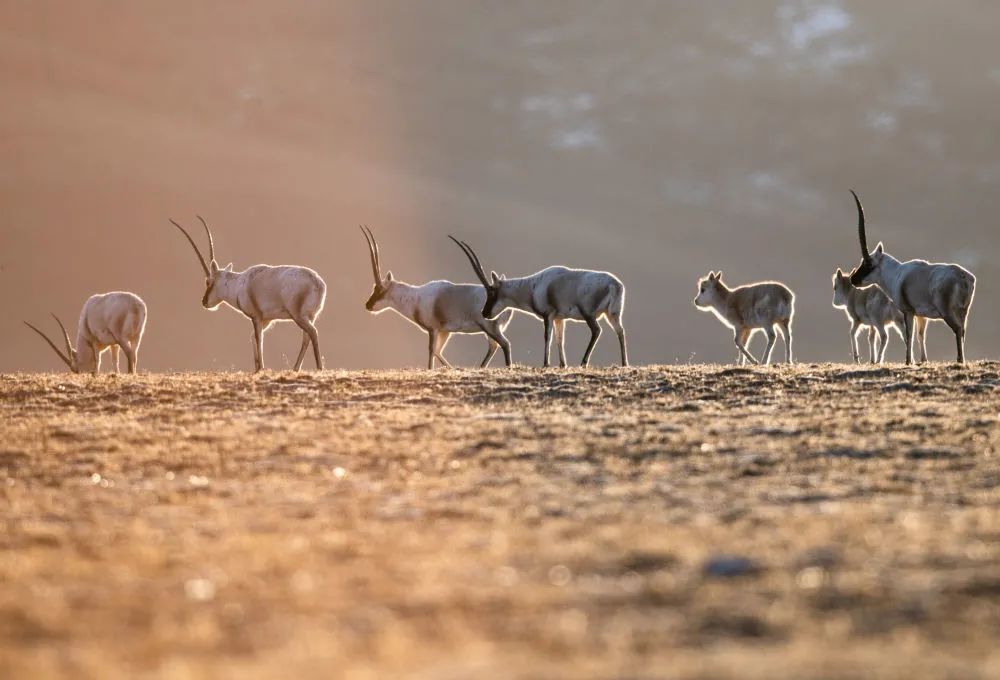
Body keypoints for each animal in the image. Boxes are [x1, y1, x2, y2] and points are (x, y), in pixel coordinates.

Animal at [170, 216, 326, 372]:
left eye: (208, 281)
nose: (204, 302)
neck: (239, 284)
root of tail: (318, 283)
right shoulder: (266, 319)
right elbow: (253, 338)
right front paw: (256, 369)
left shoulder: (256, 317)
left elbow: (258, 338)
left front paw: (261, 368)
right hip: (310, 316)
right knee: (306, 337)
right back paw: (295, 368)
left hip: (298, 316)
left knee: (313, 332)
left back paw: (319, 367)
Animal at [360, 227, 512, 366]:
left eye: (380, 289)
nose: (368, 305)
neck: (415, 298)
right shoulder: (444, 331)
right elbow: (438, 352)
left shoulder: (432, 329)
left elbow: (431, 351)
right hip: (491, 329)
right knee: (493, 346)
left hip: (489, 326)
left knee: (504, 344)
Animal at [452, 238, 628, 370]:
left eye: (492, 292)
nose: (484, 313)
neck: (533, 286)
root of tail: (614, 284)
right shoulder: (559, 318)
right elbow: (559, 338)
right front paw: (562, 364)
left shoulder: (547, 315)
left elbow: (547, 337)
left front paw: (546, 364)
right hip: (612, 314)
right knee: (620, 331)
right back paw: (624, 363)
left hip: (589, 315)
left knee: (597, 331)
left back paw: (583, 363)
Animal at [844, 189, 976, 364]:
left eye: (869, 264)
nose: (854, 280)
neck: (896, 273)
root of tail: (963, 277)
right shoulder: (921, 316)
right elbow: (920, 335)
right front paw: (922, 360)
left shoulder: (908, 311)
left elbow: (908, 335)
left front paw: (908, 362)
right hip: (963, 312)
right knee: (963, 331)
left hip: (947, 312)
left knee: (958, 329)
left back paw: (959, 360)